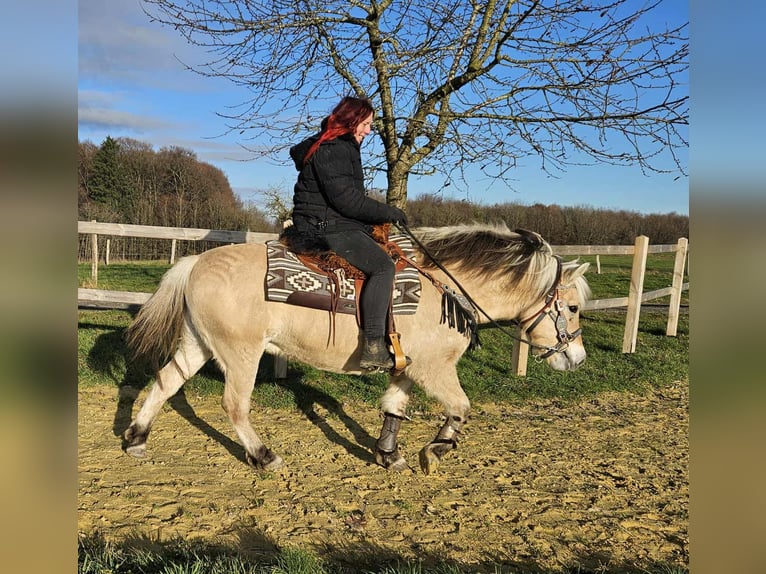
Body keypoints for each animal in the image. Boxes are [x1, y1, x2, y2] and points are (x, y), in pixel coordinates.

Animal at [123, 223, 591, 475]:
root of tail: (193, 264)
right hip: (241, 354)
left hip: (198, 343)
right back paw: (264, 455)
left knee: (165, 382)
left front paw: (389, 455)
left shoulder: (407, 368)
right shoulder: (435, 369)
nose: (578, 359)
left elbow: (393, 408)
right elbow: (460, 408)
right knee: (234, 405)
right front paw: (434, 452)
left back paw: (136, 438)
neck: (444, 287)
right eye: (571, 307)